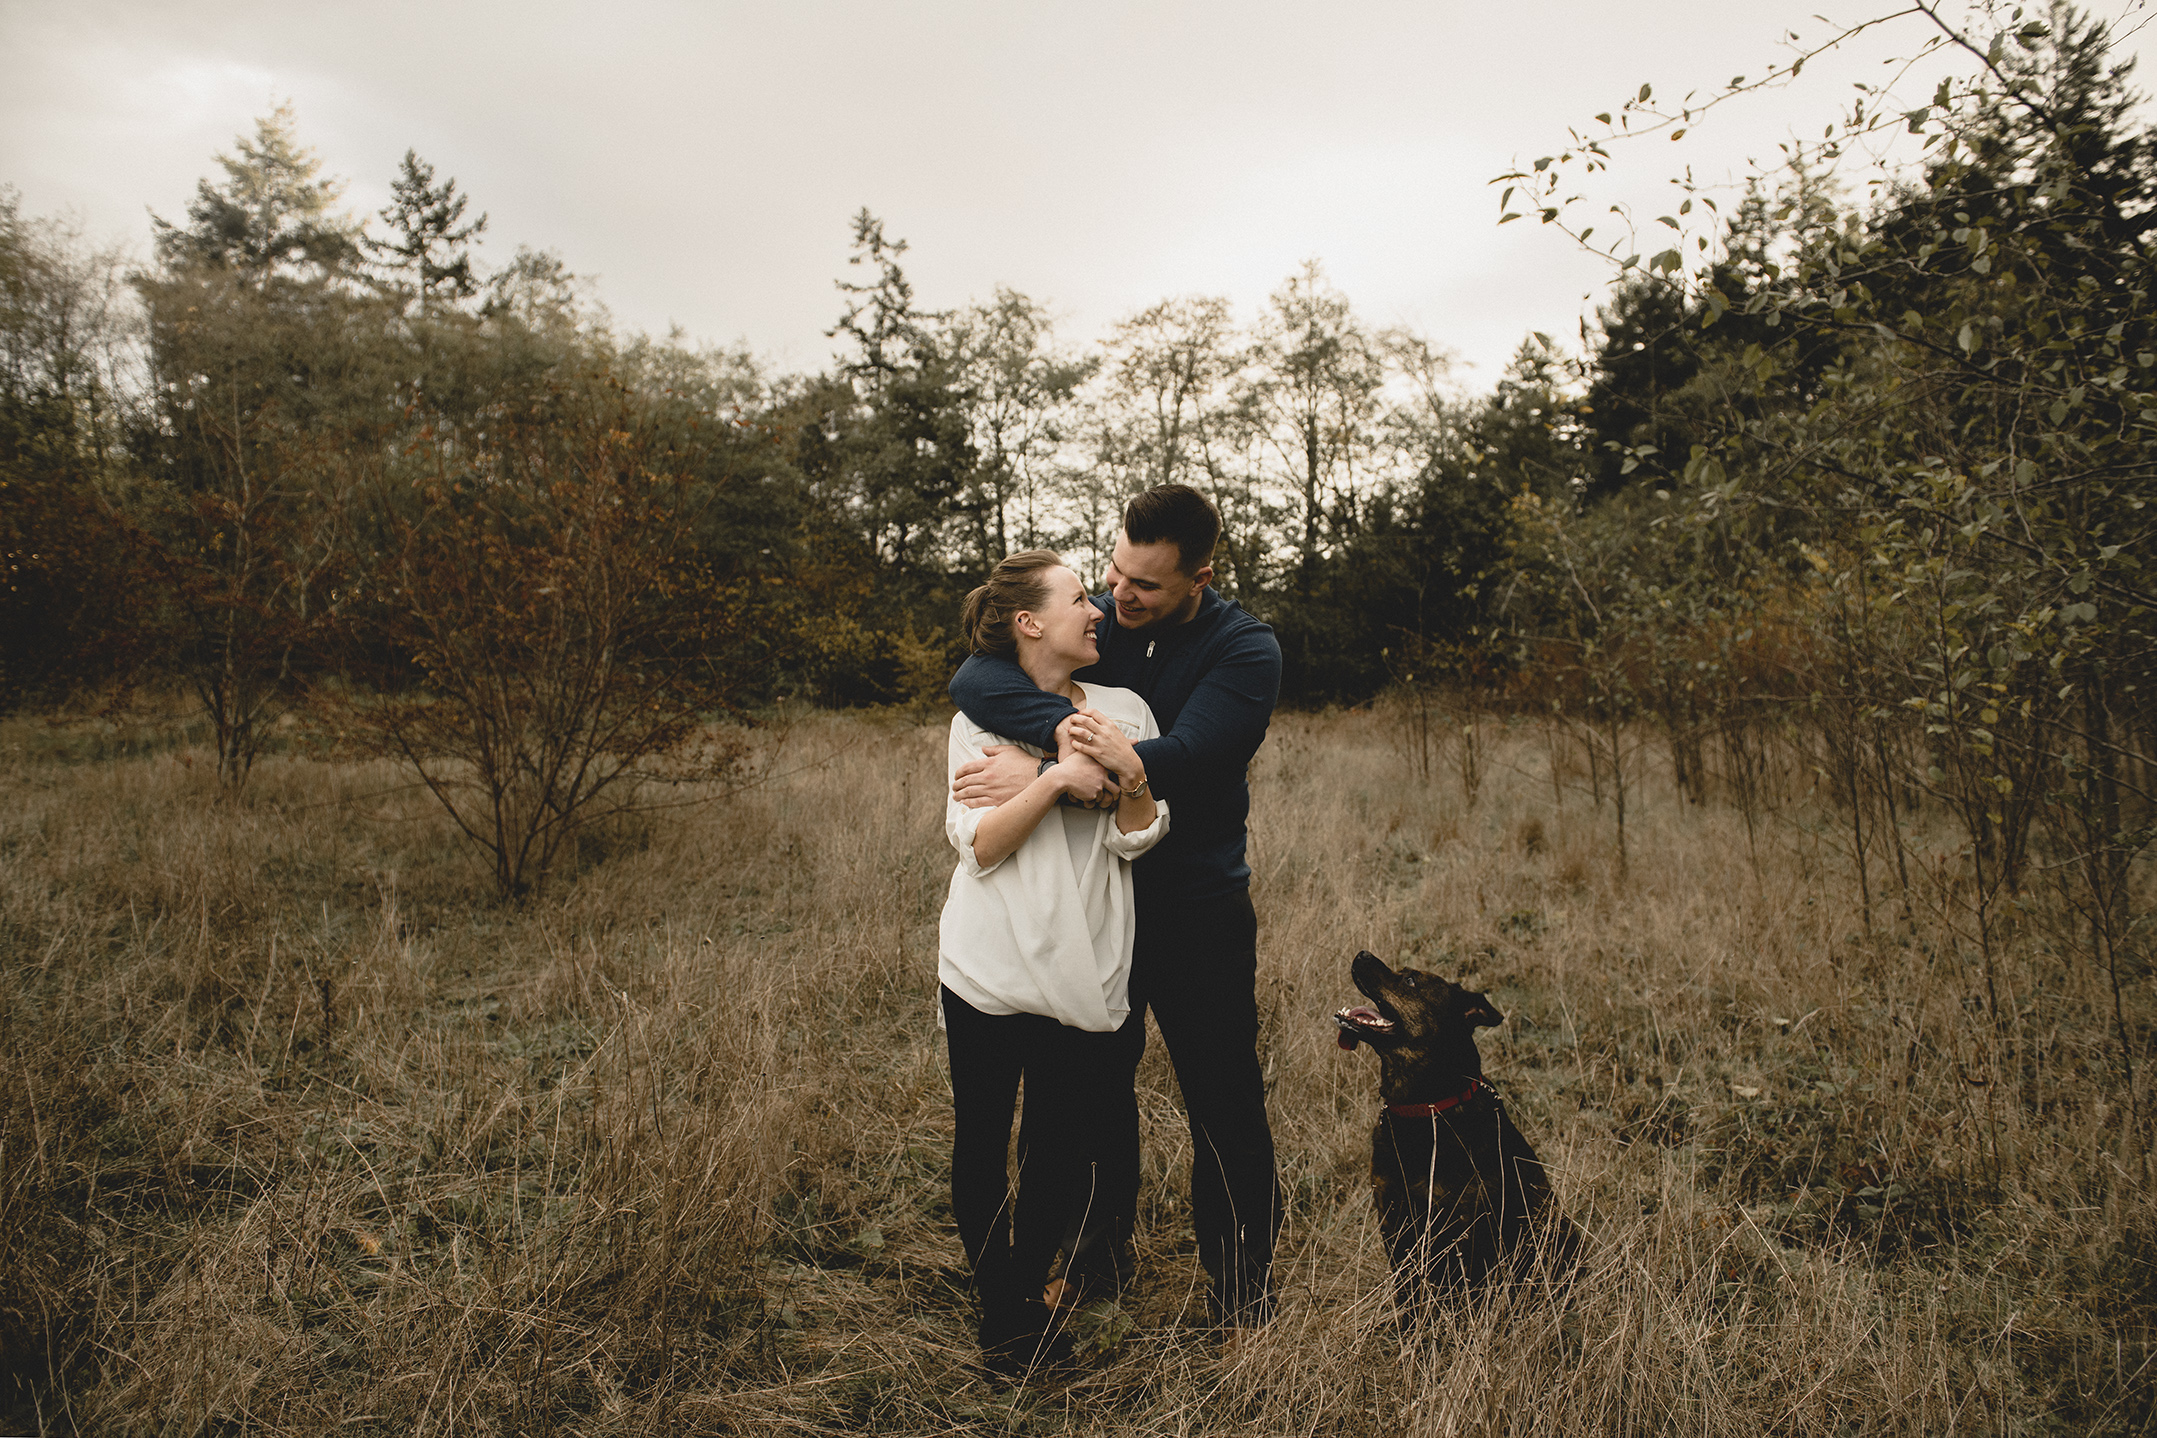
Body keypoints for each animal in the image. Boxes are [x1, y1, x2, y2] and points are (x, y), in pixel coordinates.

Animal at [1320, 948, 1578, 1319]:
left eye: (1410, 979)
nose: (1362, 953)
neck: (1424, 1108)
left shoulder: (1467, 1231)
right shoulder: (1393, 1218)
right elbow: (1407, 1290)